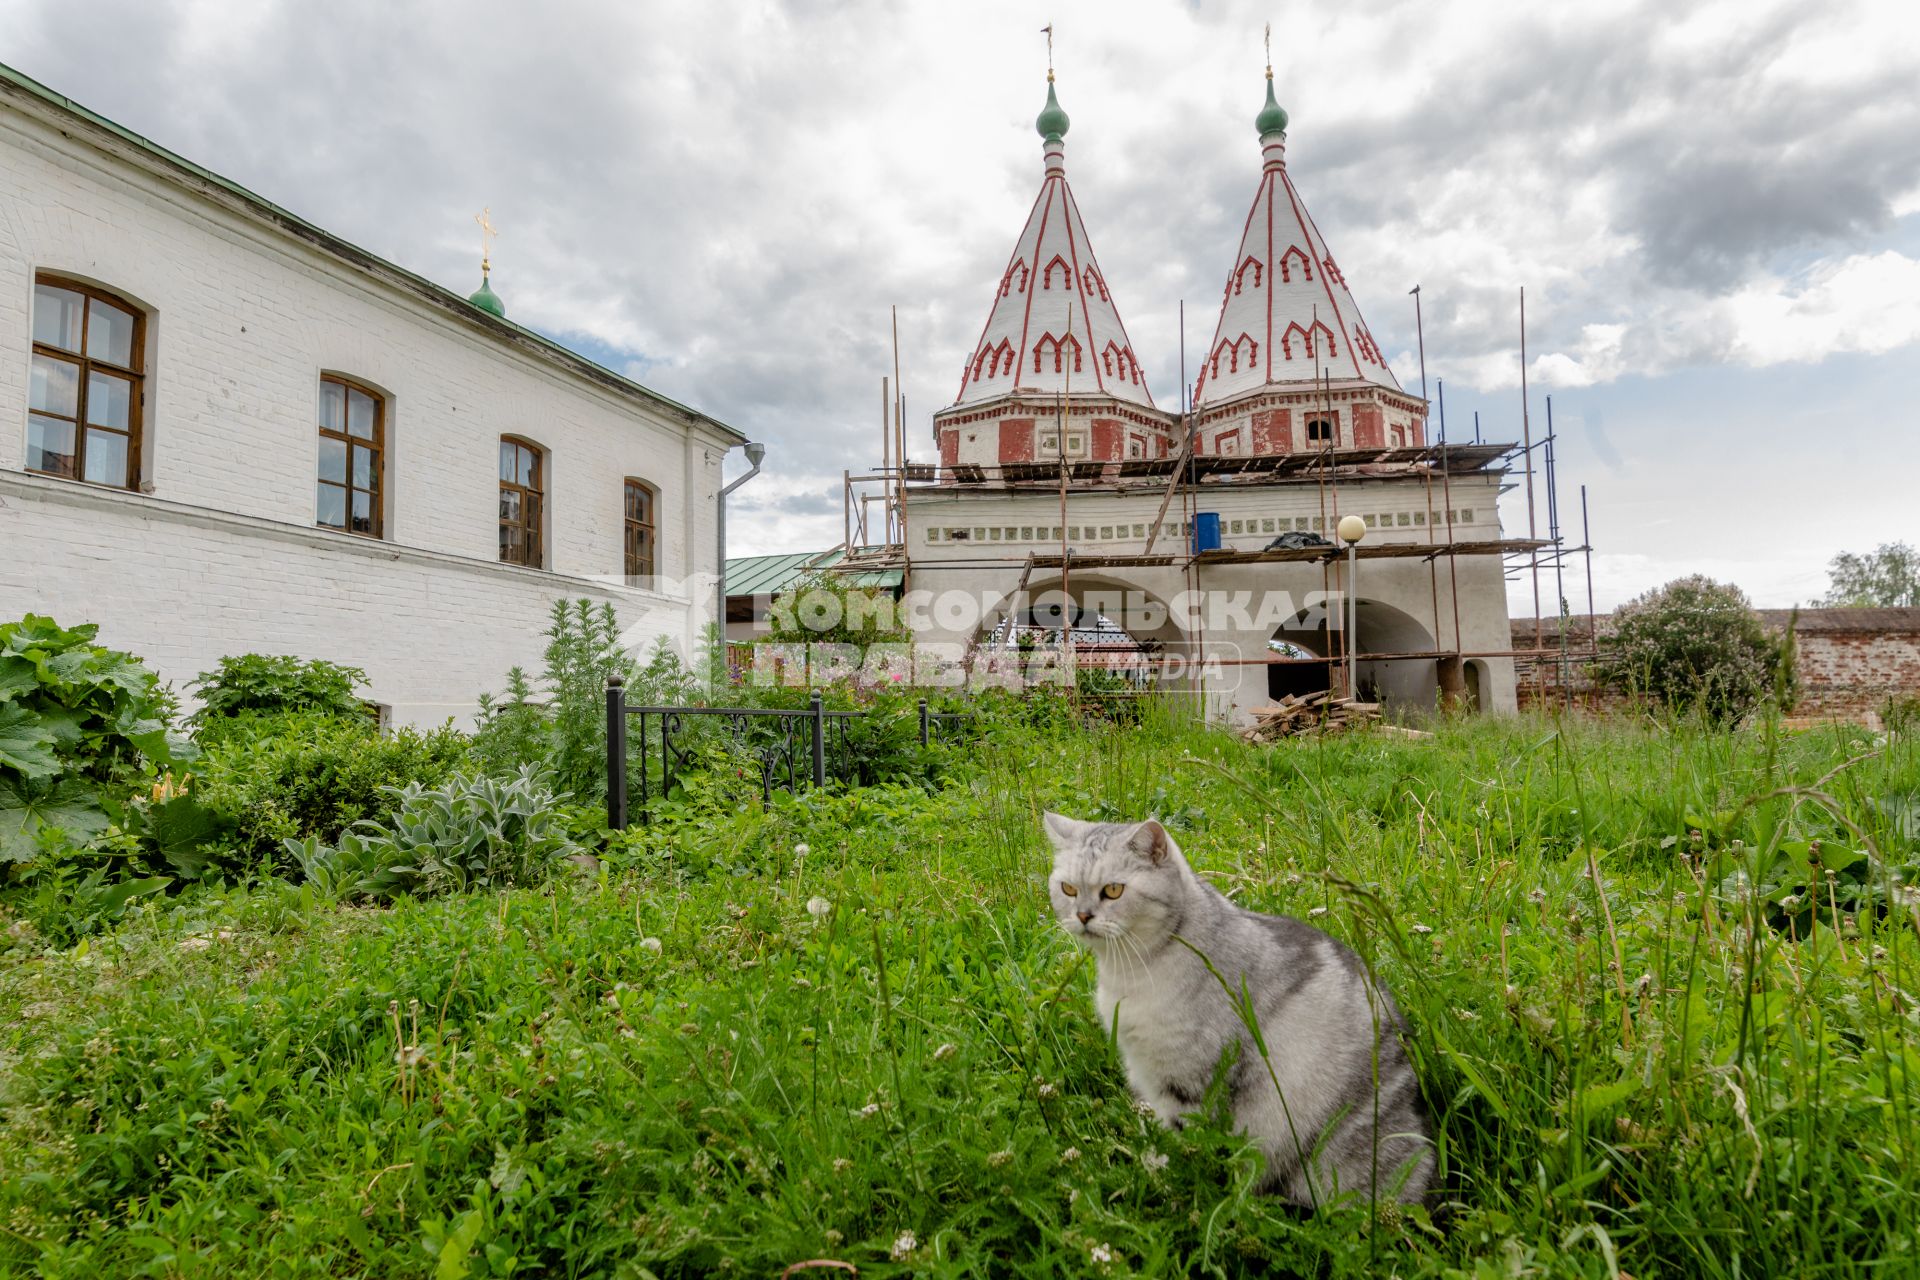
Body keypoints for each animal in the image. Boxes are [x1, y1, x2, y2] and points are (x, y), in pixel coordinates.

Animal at [1044, 817, 1436, 1205]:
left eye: (1113, 891)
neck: (1128, 969)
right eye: (1068, 889)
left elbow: (1178, 1145)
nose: (1082, 915)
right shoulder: (1148, 1077)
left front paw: (1165, 1186)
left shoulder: (1189, 1084)